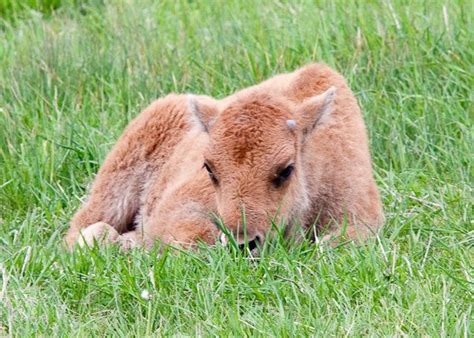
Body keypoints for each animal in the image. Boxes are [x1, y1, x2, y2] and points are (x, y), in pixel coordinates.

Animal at [65, 63, 386, 251]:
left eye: (286, 169)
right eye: (209, 168)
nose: (244, 242)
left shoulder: (360, 214)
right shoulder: (180, 205)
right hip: (114, 189)